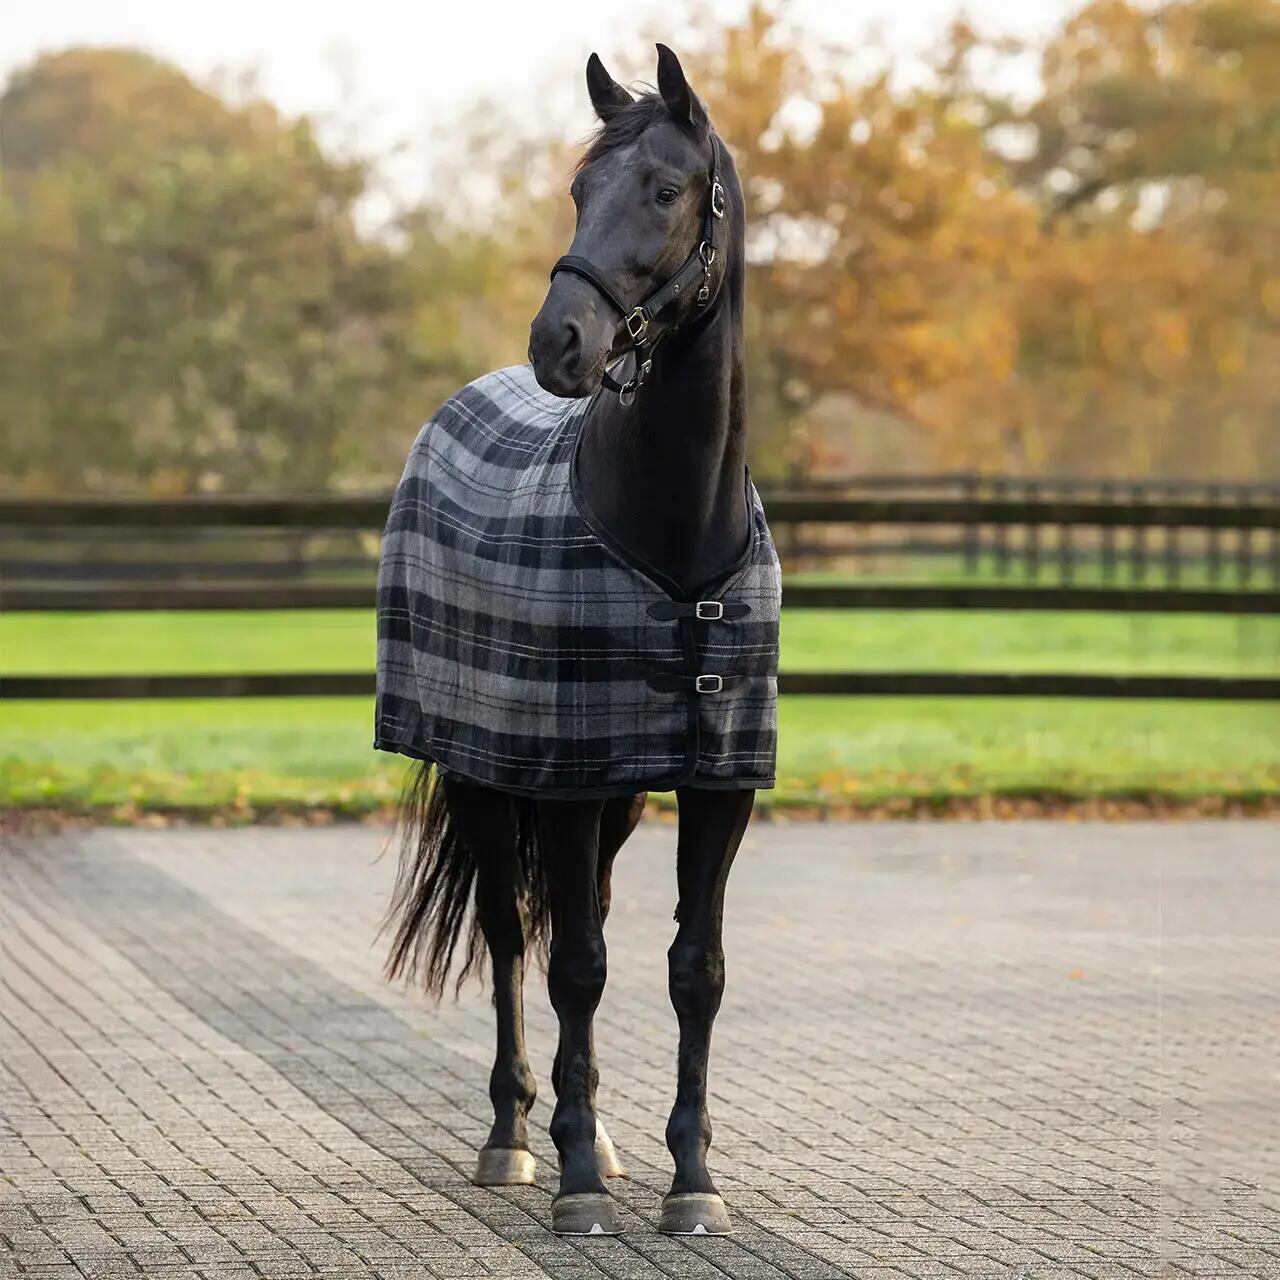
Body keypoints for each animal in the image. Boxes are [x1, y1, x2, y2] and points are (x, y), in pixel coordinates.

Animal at [375, 44, 780, 1237]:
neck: (671, 533)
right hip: (489, 777)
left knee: (574, 914)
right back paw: (516, 1138)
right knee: (517, 934)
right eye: (575, 189)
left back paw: (583, 1125)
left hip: (615, 798)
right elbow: (574, 968)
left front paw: (689, 1179)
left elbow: (694, 969)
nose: (559, 342)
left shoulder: (712, 783)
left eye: (665, 188)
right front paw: (579, 1188)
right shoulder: (557, 778)